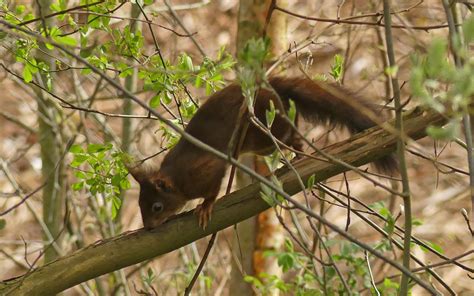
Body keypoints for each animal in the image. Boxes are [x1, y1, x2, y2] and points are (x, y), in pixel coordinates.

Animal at [129, 76, 396, 229]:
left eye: (156, 207)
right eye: (140, 204)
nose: (148, 227)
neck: (176, 177)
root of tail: (271, 87)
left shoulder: (206, 170)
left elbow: (213, 188)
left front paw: (205, 207)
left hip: (266, 132)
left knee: (291, 137)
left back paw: (300, 154)